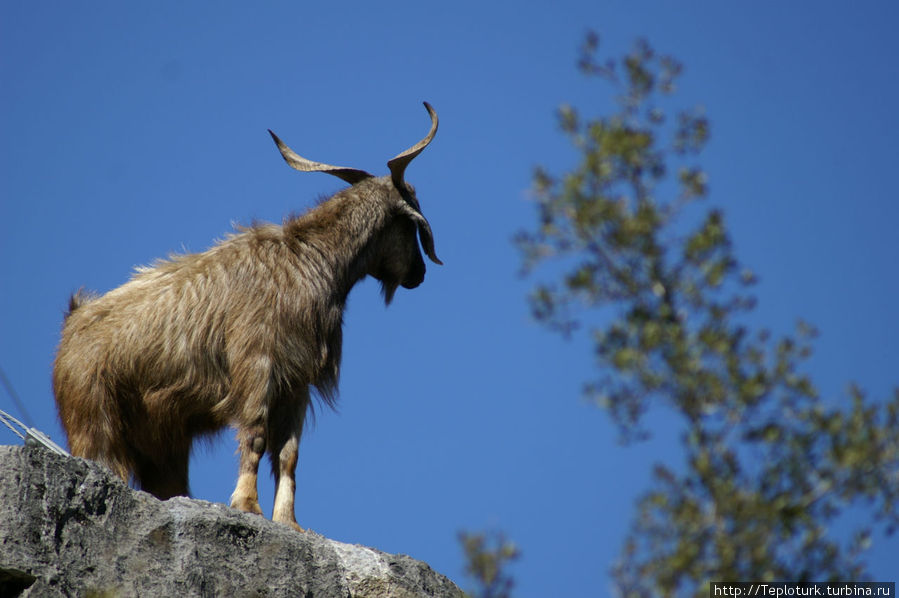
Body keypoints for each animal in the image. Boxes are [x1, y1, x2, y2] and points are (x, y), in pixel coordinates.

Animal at [52, 103, 442, 536]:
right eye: (410, 224)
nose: (419, 274)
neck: (311, 262)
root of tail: (72, 324)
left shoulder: (296, 384)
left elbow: (288, 455)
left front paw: (289, 522)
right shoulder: (258, 365)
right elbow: (255, 435)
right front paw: (247, 505)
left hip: (163, 443)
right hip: (94, 419)